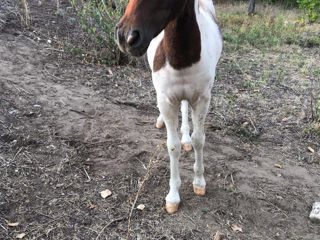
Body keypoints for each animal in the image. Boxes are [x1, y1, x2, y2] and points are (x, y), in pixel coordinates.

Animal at [115, 0, 222, 214]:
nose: (125, 37)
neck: (182, 59)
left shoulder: (202, 100)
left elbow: (199, 140)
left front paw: (199, 182)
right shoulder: (166, 100)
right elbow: (173, 146)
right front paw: (173, 196)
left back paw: (186, 137)